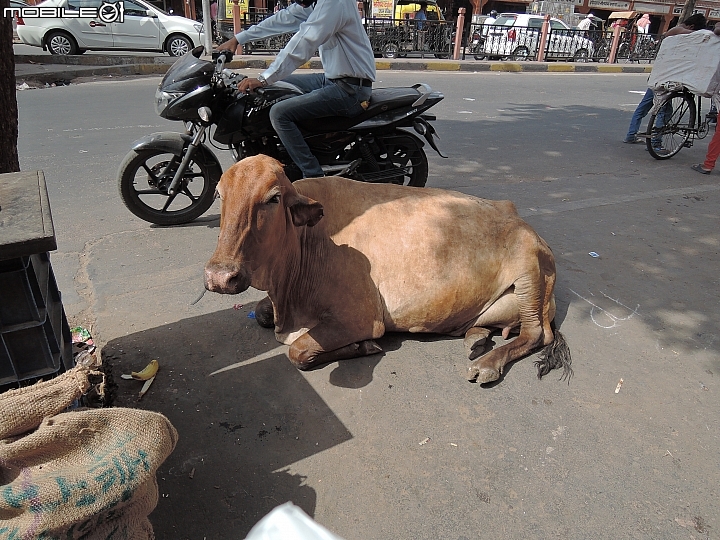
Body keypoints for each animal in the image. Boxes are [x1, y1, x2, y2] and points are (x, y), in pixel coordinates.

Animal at [205, 155, 572, 384]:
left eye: (274, 198)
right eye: (220, 194)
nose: (220, 276)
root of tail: (518, 217)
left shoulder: (360, 318)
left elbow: (297, 351)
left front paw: (362, 347)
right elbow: (261, 313)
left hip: (527, 272)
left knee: (536, 334)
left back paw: (486, 363)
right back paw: (476, 338)